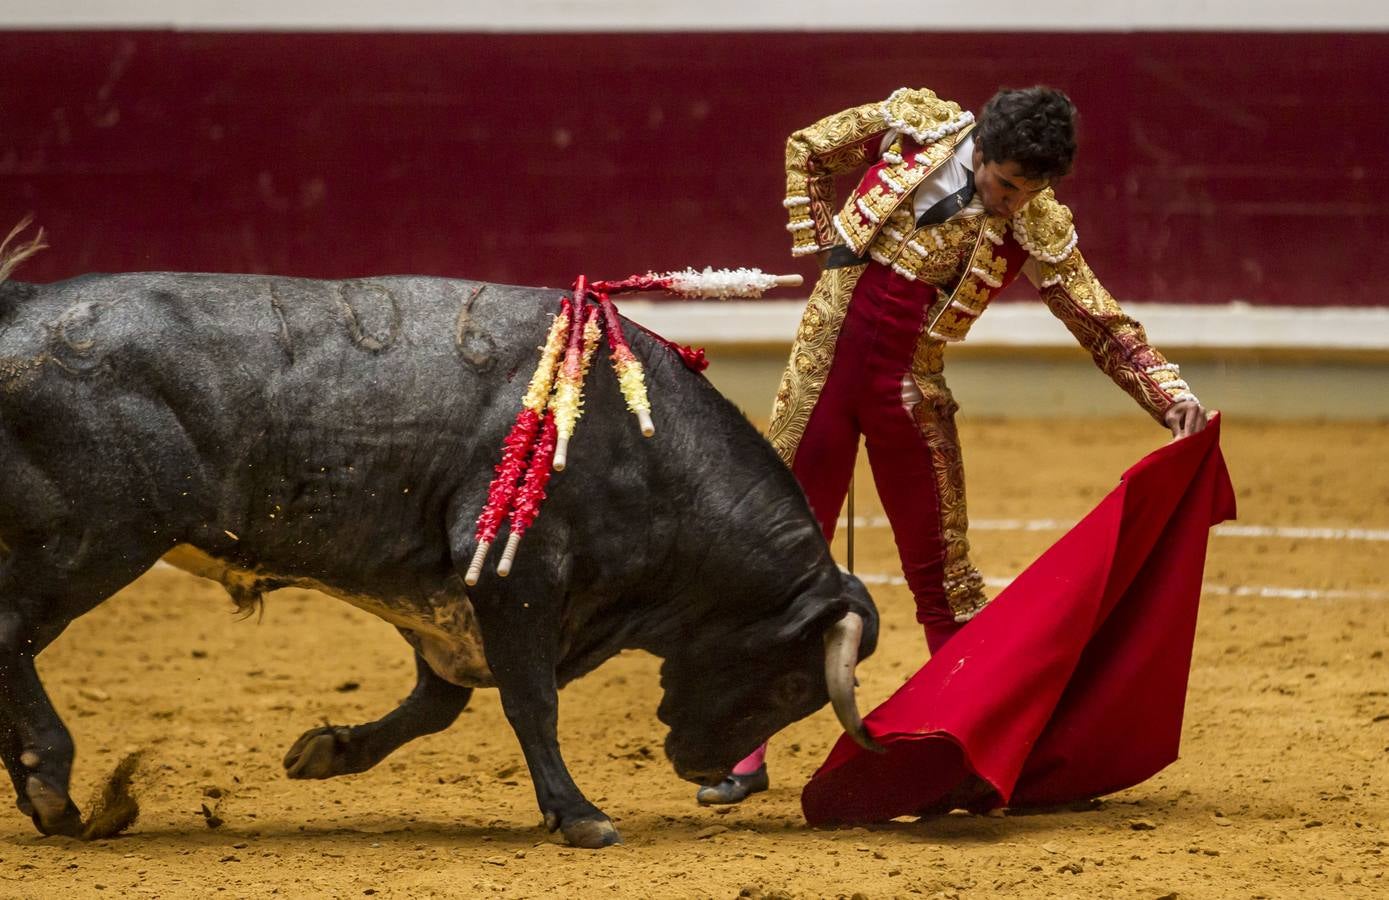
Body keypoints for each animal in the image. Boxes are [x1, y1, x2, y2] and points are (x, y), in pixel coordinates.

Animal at [0, 237, 877, 844]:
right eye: (791, 686)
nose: (701, 769)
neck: (646, 445)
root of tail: (21, 304)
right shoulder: (514, 580)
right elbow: (530, 701)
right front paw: (578, 815)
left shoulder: (450, 602)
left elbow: (439, 701)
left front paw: (327, 751)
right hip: (93, 541)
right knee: (12, 631)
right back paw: (52, 784)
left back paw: (52, 800)